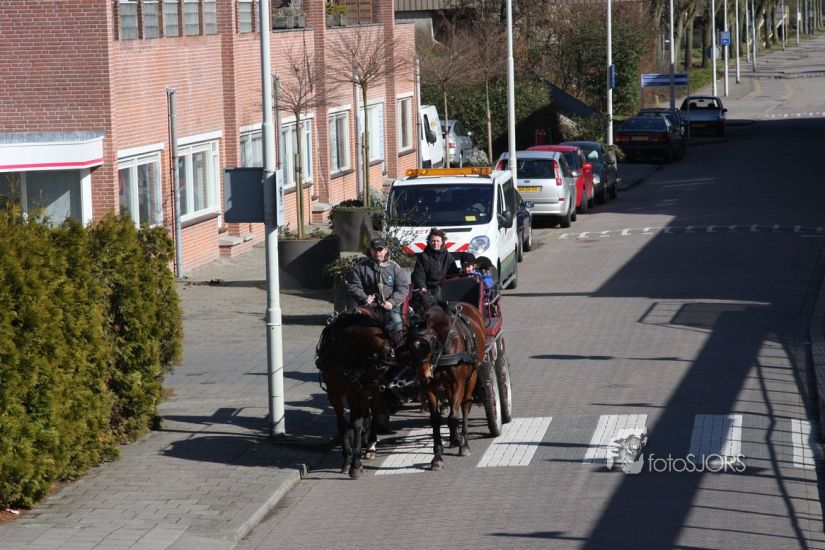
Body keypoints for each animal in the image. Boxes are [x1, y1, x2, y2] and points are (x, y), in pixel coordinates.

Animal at [315, 307, 397, 479]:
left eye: (382, 368)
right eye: (375, 360)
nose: (374, 384)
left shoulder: (359, 392)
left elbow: (357, 424)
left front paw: (355, 465)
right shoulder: (334, 392)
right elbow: (343, 424)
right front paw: (347, 458)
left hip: (368, 393)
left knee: (375, 413)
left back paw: (371, 445)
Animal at [407, 300, 487, 470]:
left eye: (427, 344)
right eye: (409, 346)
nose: (423, 376)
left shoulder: (458, 382)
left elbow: (453, 416)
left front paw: (459, 440)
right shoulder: (430, 386)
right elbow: (435, 419)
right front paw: (437, 456)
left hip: (472, 377)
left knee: (464, 406)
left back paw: (464, 442)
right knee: (452, 403)